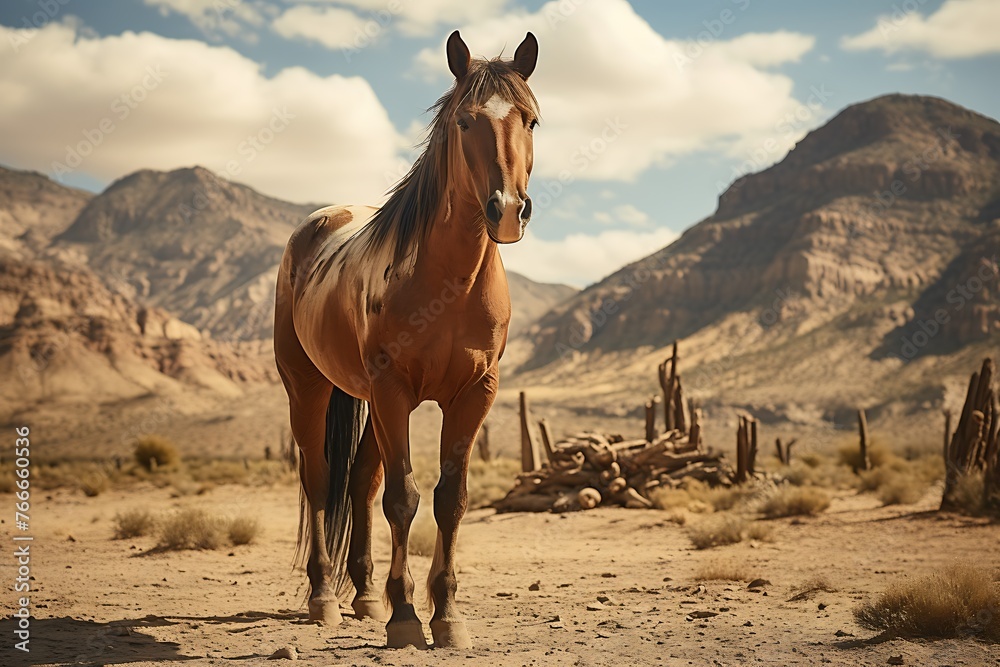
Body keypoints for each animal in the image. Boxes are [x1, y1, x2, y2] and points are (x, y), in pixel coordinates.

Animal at [273, 31, 539, 649]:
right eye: (465, 121)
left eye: (531, 120)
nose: (508, 211)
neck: (449, 284)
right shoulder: (393, 389)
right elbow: (404, 498)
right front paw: (406, 617)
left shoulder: (474, 394)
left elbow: (450, 500)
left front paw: (446, 614)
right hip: (309, 388)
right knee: (320, 480)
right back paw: (323, 597)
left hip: (370, 401)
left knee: (359, 482)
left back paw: (366, 594)